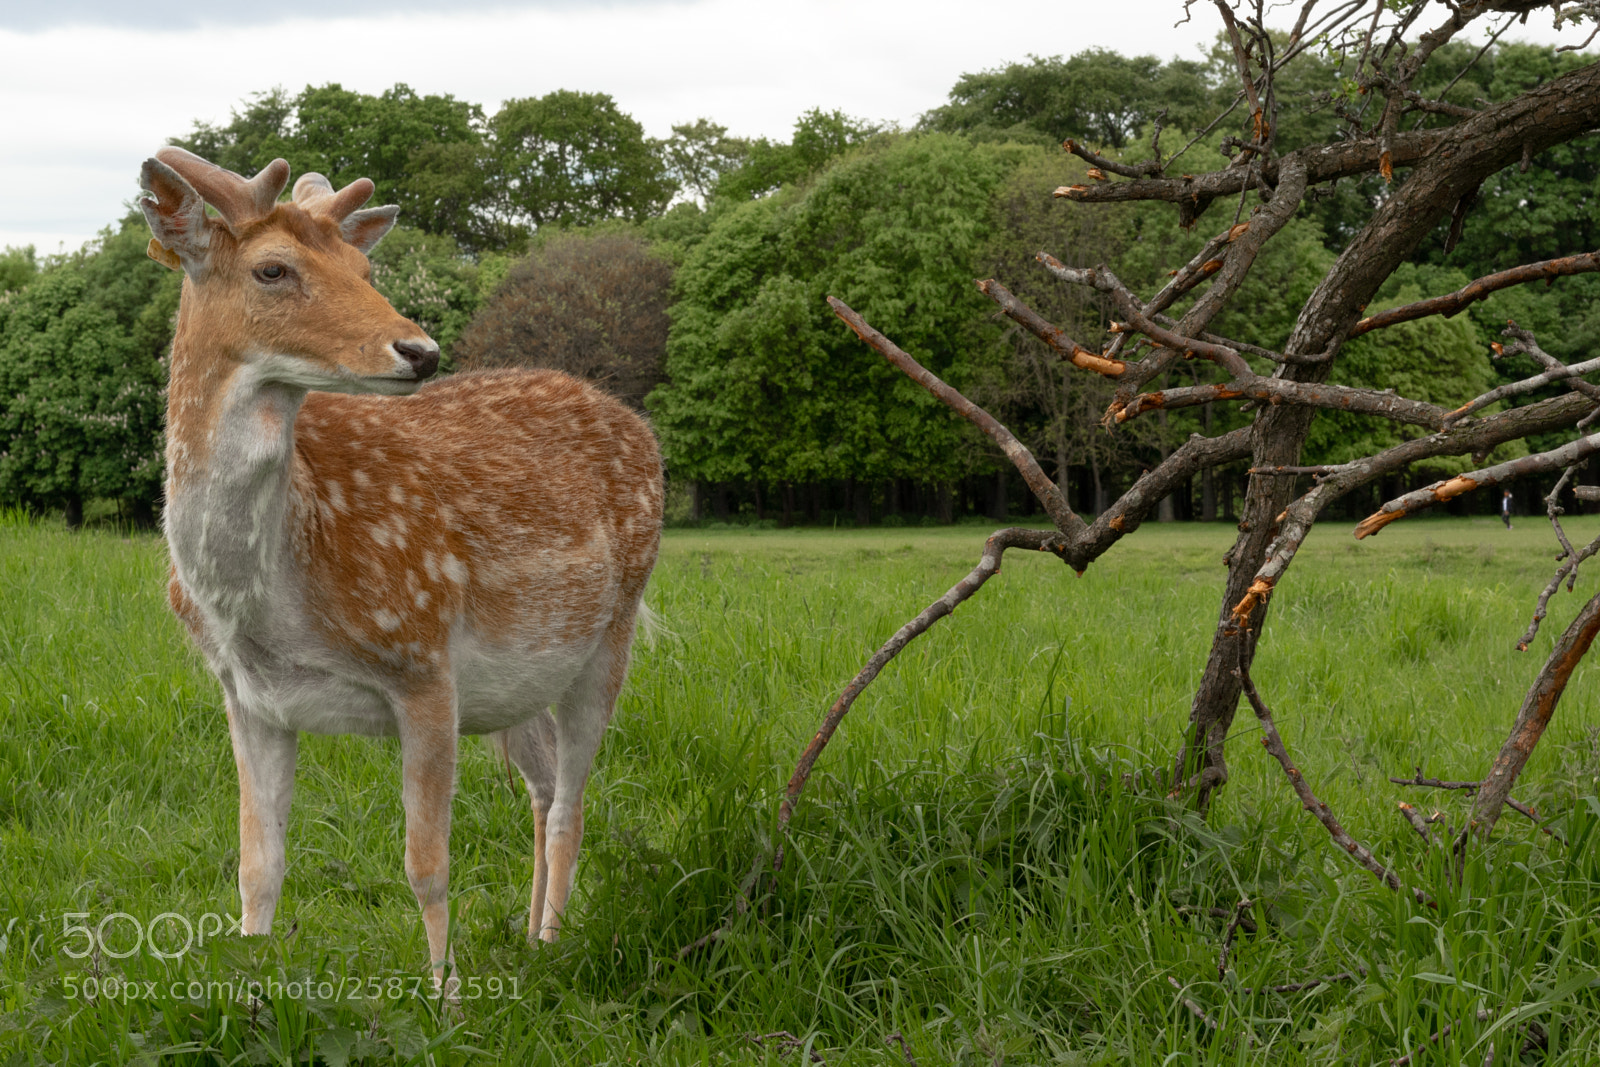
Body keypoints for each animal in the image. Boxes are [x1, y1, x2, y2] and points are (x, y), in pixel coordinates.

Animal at [138, 146, 663, 988]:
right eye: (272, 268)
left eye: (364, 266)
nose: (420, 351)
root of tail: (640, 426)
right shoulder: (247, 695)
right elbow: (258, 864)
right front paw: (248, 985)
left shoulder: (422, 659)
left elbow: (426, 865)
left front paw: (446, 996)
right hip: (512, 681)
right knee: (545, 784)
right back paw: (526, 938)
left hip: (612, 632)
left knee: (573, 801)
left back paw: (554, 946)